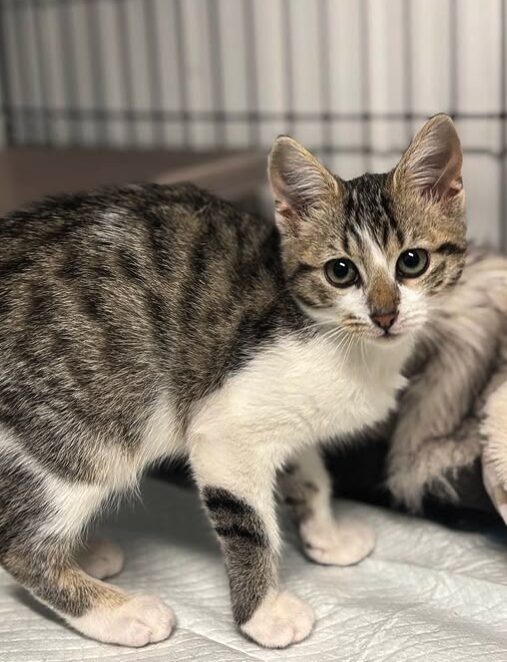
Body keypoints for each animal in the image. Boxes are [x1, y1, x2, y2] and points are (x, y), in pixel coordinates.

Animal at [0, 115, 466, 648]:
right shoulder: (223, 429)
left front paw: (326, 536)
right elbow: (251, 526)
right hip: (79, 433)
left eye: (412, 261)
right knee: (19, 544)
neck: (348, 346)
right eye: (340, 271)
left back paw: (86, 553)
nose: (385, 316)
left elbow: (313, 473)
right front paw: (263, 614)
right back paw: (120, 613)